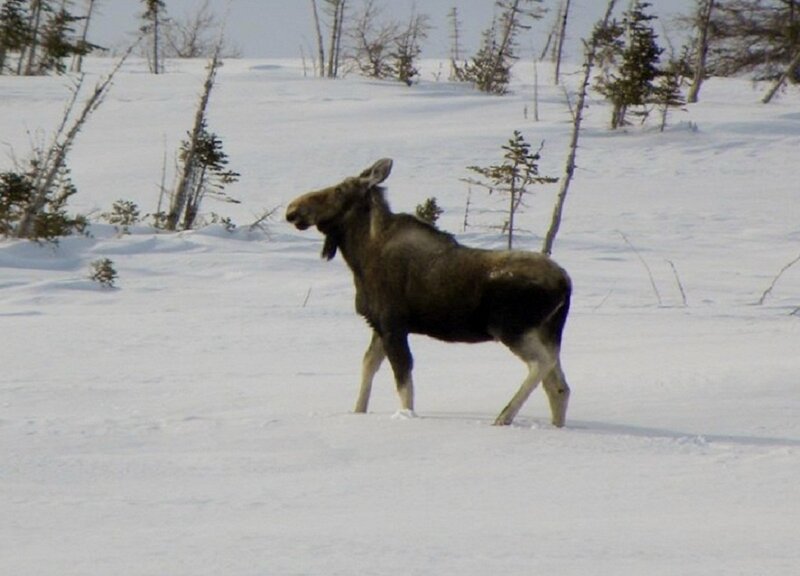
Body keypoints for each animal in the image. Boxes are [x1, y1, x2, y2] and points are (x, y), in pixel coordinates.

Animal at [285, 159, 572, 427]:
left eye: (339, 189)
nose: (292, 209)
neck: (360, 256)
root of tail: (566, 284)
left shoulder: (393, 324)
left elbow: (403, 380)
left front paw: (407, 417)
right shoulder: (379, 325)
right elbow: (368, 367)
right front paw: (358, 412)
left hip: (511, 328)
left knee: (541, 364)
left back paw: (504, 416)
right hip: (547, 331)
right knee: (559, 387)